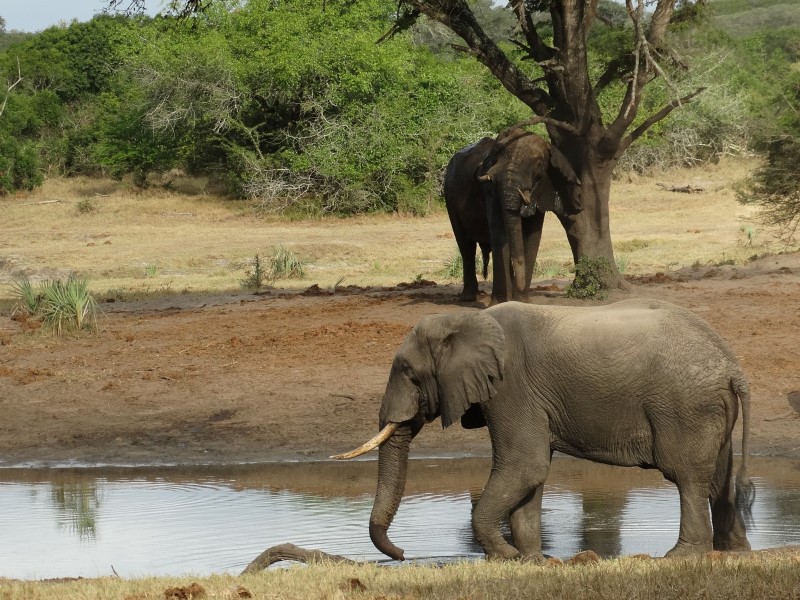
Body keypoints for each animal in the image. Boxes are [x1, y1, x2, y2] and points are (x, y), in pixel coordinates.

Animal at [334, 300, 752, 564]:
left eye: (407, 370)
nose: (403, 554)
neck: (465, 320)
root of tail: (733, 366)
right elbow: (532, 474)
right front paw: (532, 560)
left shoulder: (511, 388)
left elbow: (525, 465)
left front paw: (505, 557)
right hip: (710, 409)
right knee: (719, 476)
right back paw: (733, 552)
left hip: (686, 407)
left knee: (687, 476)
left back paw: (682, 555)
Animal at [444, 129, 580, 304]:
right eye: (497, 158)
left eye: (539, 164)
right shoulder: (489, 188)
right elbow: (500, 234)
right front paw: (500, 303)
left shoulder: (543, 188)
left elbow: (533, 238)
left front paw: (522, 301)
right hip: (449, 196)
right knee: (465, 245)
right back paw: (468, 299)